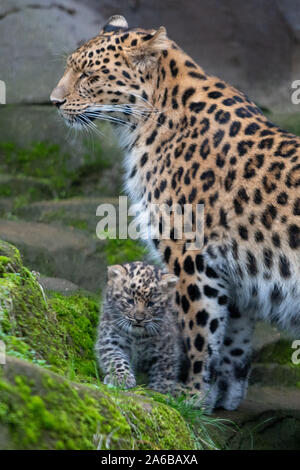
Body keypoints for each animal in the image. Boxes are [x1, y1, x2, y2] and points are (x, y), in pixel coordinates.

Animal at [50, 15, 300, 412]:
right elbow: (232, 339)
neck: (143, 123)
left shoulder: (192, 260)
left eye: (88, 74)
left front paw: (190, 395)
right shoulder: (236, 276)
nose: (54, 101)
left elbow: (198, 333)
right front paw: (221, 396)